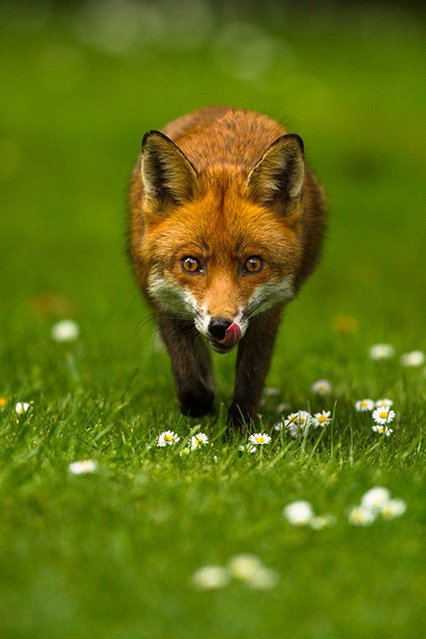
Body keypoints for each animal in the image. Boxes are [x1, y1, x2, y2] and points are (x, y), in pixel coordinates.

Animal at [128, 107, 324, 430]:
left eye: (253, 264)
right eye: (191, 264)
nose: (220, 326)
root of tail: (226, 110)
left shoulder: (269, 312)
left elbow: (250, 377)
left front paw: (241, 429)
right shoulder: (162, 299)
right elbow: (186, 370)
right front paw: (199, 403)